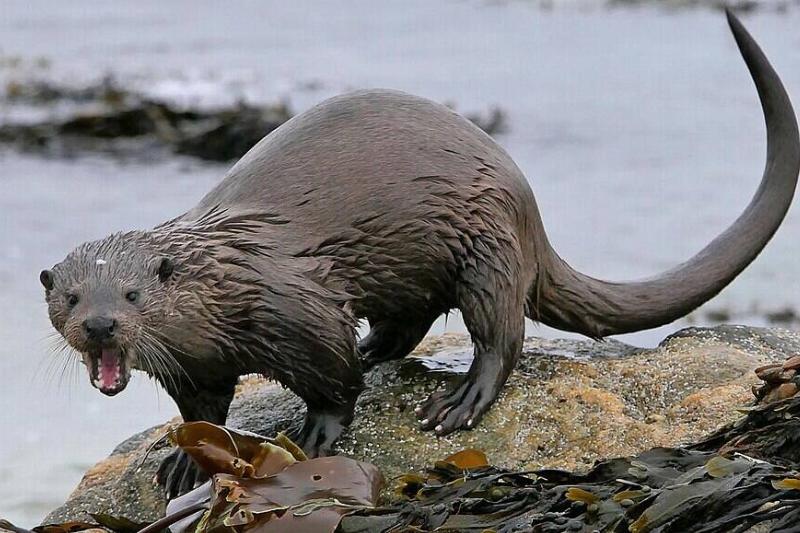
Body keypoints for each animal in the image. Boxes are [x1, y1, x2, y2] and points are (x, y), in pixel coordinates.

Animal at [41, 12, 799, 499]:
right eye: (70, 297)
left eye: (134, 294)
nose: (101, 325)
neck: (224, 288)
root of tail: (527, 204)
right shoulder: (197, 368)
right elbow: (207, 408)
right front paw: (185, 460)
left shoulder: (298, 307)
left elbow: (332, 380)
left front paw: (317, 435)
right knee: (408, 324)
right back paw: (382, 351)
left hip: (486, 243)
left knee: (500, 334)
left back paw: (459, 400)